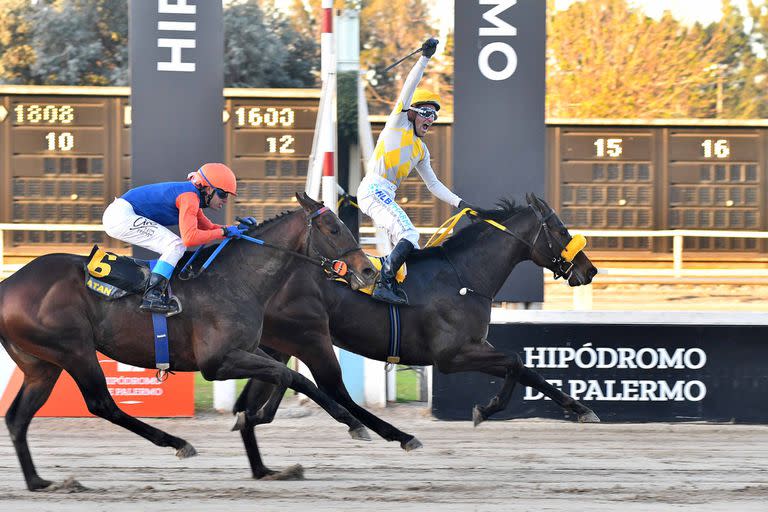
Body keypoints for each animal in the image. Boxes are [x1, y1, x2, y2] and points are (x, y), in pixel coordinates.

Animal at [0, 190, 378, 490]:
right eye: (333, 228)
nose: (370, 270)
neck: (235, 279)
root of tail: (9, 284)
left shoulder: (248, 349)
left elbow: (295, 377)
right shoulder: (218, 362)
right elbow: (292, 376)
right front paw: (354, 422)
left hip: (42, 364)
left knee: (18, 418)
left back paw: (38, 481)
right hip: (75, 350)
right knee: (101, 404)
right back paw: (177, 442)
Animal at [231, 194, 604, 478]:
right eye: (561, 229)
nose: (590, 270)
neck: (464, 276)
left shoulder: (474, 347)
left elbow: (527, 370)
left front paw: (581, 409)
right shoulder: (453, 355)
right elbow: (514, 361)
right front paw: (486, 409)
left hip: (283, 343)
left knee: (269, 390)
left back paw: (261, 457)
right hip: (312, 337)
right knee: (331, 389)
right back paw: (394, 434)